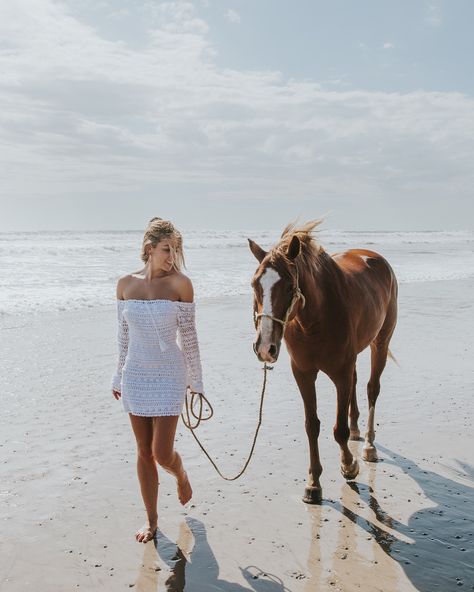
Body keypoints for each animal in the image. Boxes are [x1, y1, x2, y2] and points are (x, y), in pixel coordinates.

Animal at [250, 222, 398, 504]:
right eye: (254, 284)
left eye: (289, 286)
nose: (265, 347)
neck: (315, 319)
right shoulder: (303, 373)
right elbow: (312, 425)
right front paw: (313, 482)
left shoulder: (340, 372)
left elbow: (338, 429)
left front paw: (348, 465)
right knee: (356, 383)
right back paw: (356, 430)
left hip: (381, 342)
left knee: (372, 389)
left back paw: (368, 445)